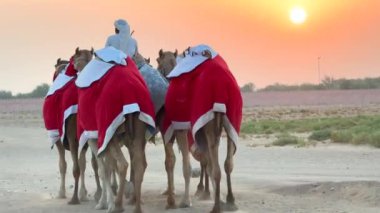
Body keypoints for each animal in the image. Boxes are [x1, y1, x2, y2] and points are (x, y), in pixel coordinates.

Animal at [156, 47, 242, 213]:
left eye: (157, 63)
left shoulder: (181, 128)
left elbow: (186, 166)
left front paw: (184, 201)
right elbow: (205, 162)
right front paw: (216, 196)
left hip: (209, 123)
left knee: (215, 168)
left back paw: (216, 206)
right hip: (231, 120)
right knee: (227, 163)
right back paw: (230, 201)